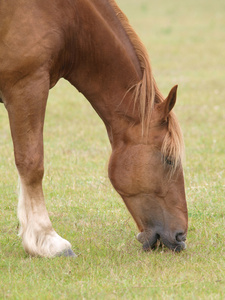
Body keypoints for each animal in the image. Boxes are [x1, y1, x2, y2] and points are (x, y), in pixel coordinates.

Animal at [0, 0, 187, 258]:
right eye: (168, 159)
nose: (181, 236)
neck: (68, 17)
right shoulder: (27, 85)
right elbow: (31, 164)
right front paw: (48, 240)